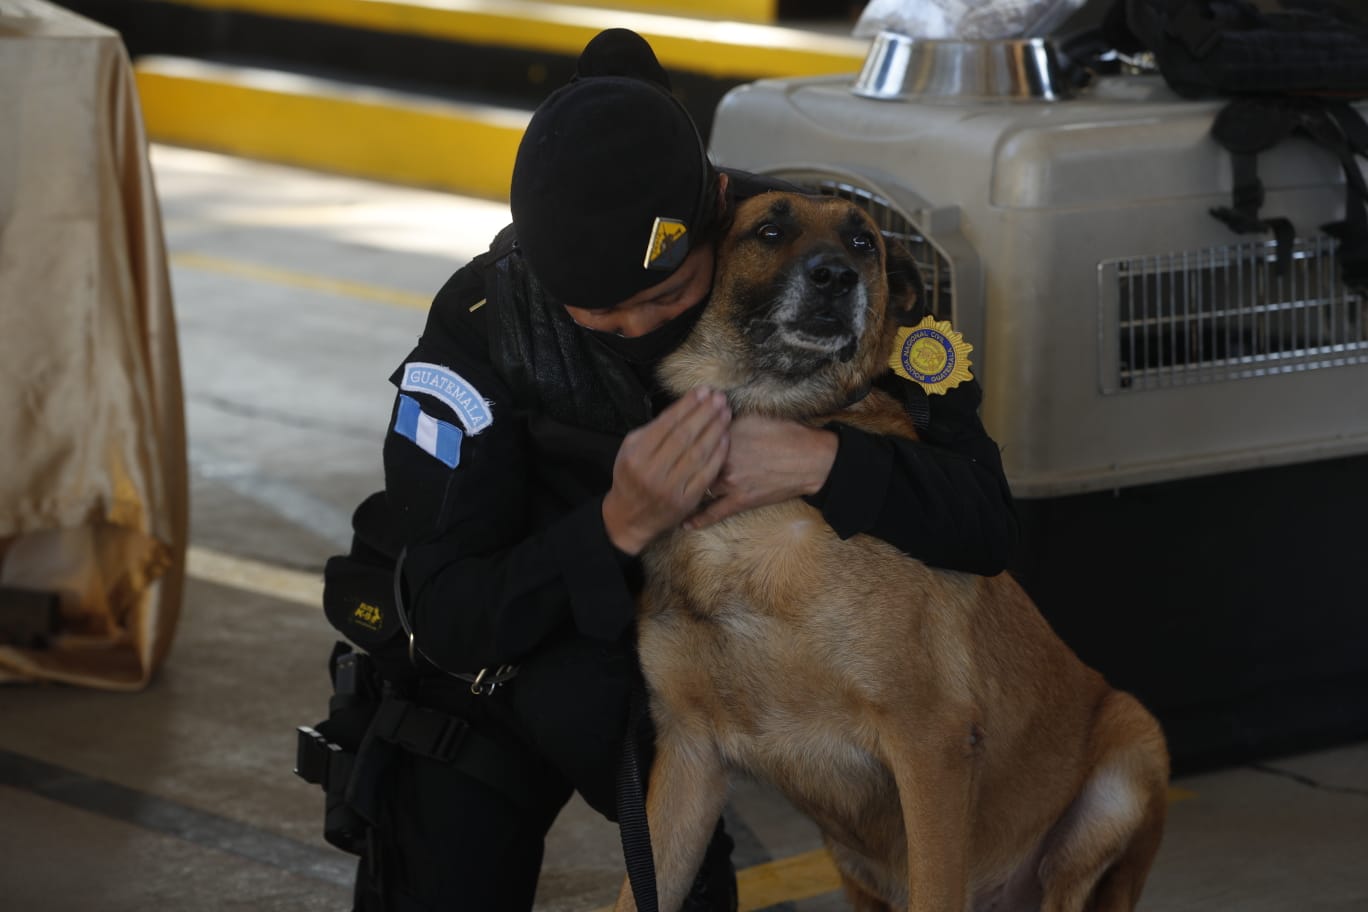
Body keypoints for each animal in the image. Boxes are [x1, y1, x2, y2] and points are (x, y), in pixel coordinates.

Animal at [615, 192, 1171, 912]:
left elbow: (936, 885)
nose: (835, 278)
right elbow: (637, 891)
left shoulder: (930, 741)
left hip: (1132, 748)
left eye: (863, 244)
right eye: (769, 230)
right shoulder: (689, 759)